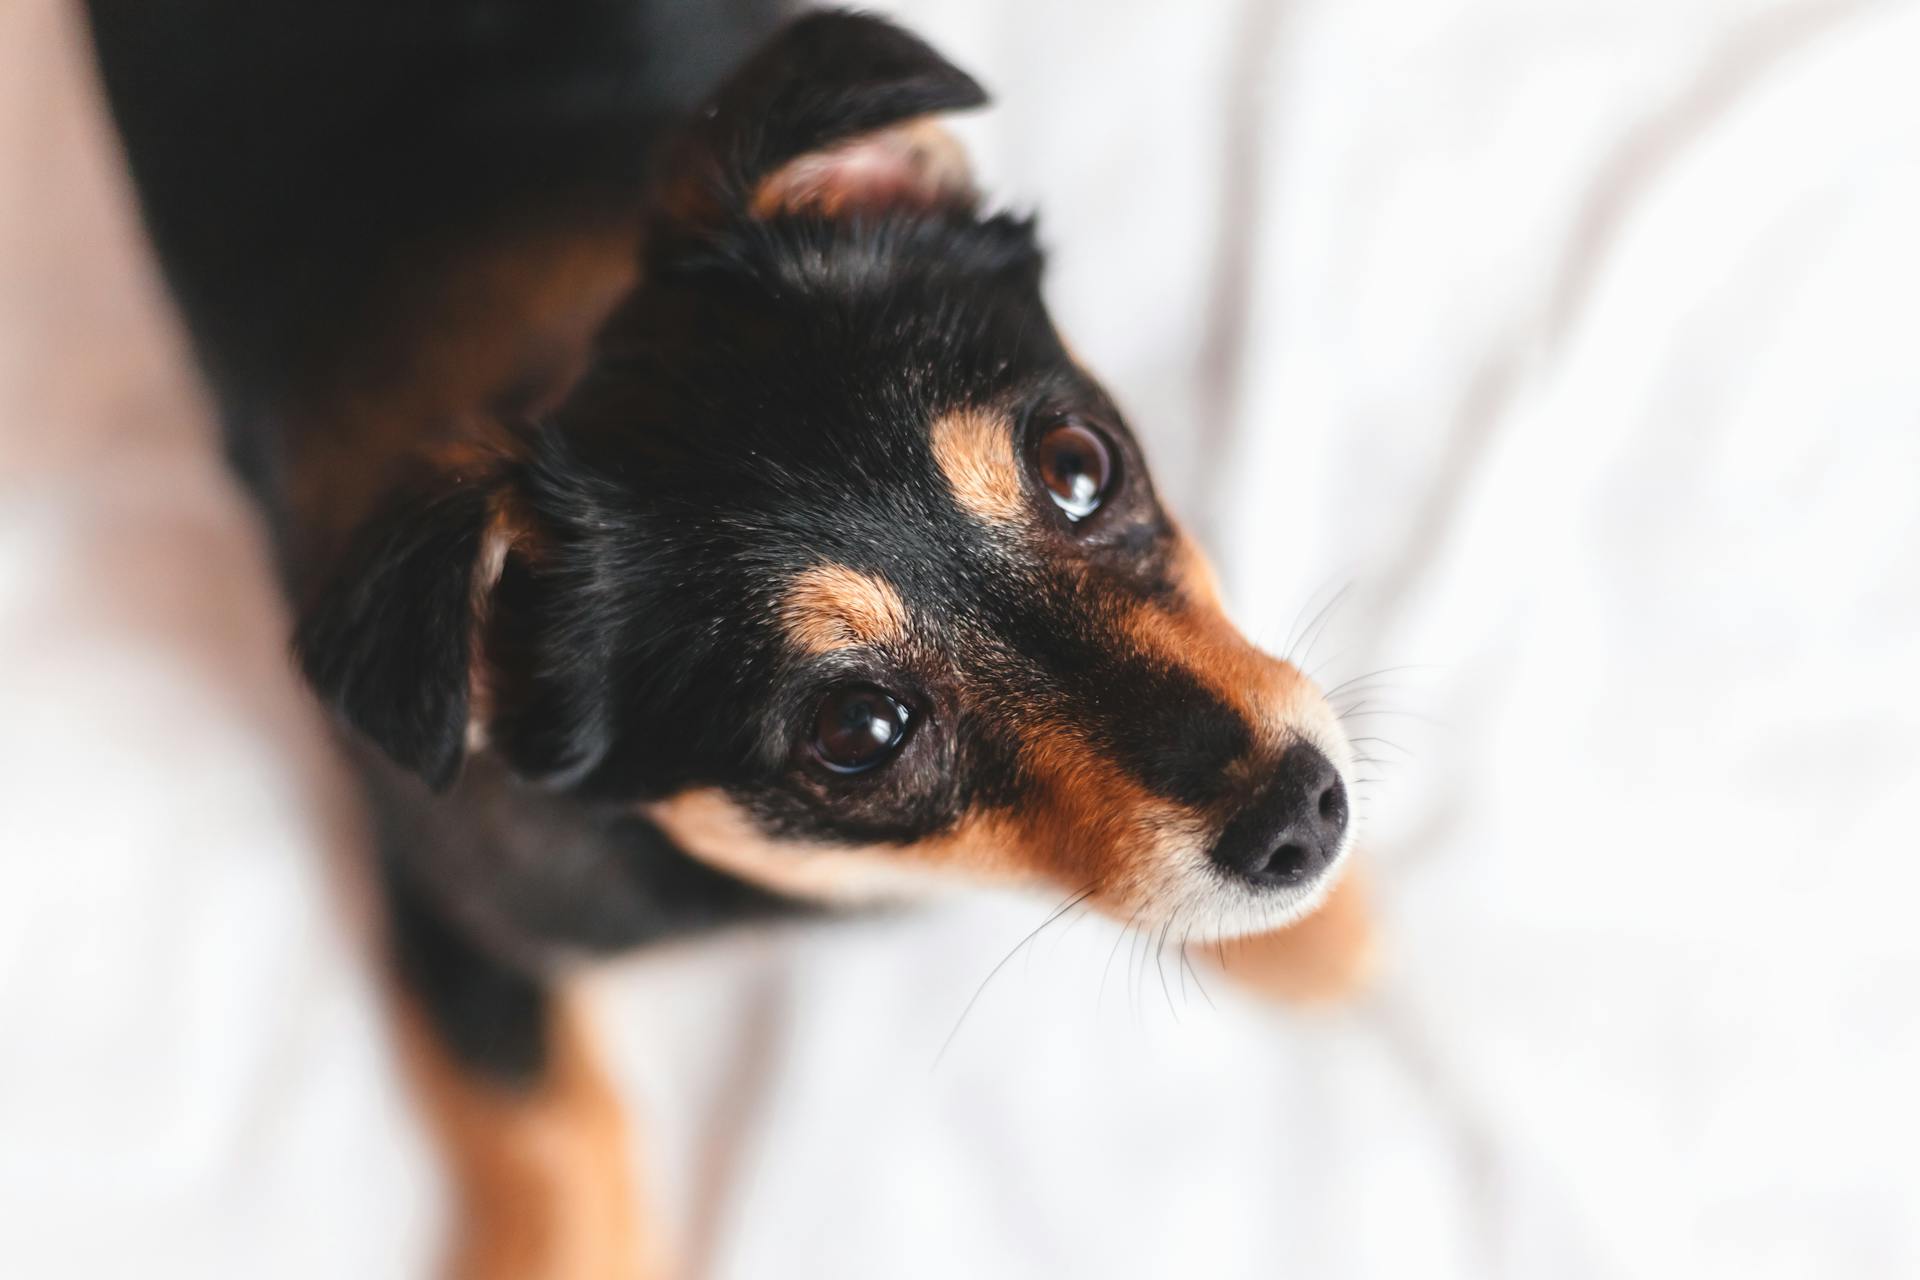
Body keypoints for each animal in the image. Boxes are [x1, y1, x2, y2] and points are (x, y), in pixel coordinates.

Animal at [90, 5, 1382, 1274]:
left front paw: (1319, 935)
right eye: (858, 730)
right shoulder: (459, 914)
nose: (1298, 814)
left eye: (1080, 466)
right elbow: (548, 1126)